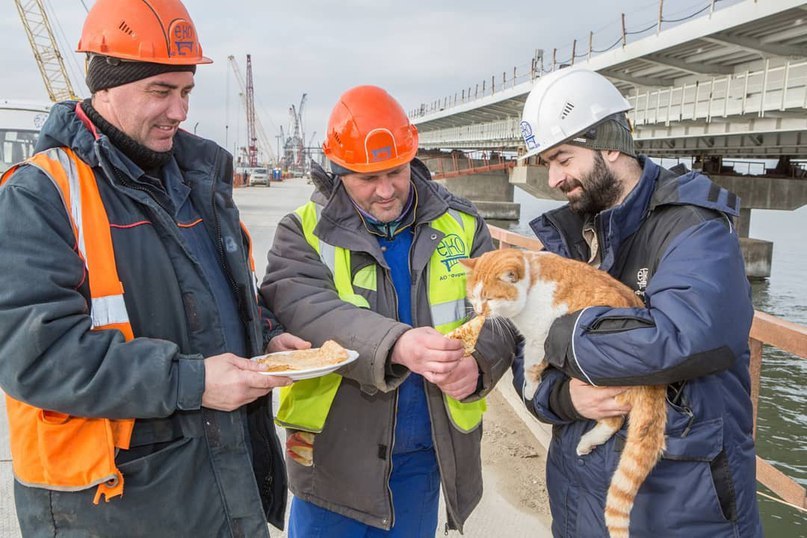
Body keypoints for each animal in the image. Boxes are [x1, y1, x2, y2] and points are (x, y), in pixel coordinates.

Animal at [460, 248, 668, 536]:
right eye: (474, 296)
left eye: (489, 298)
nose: (479, 310)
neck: (531, 286)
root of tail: (655, 385)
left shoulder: (540, 337)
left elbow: (532, 364)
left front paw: (531, 388)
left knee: (614, 420)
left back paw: (587, 441)